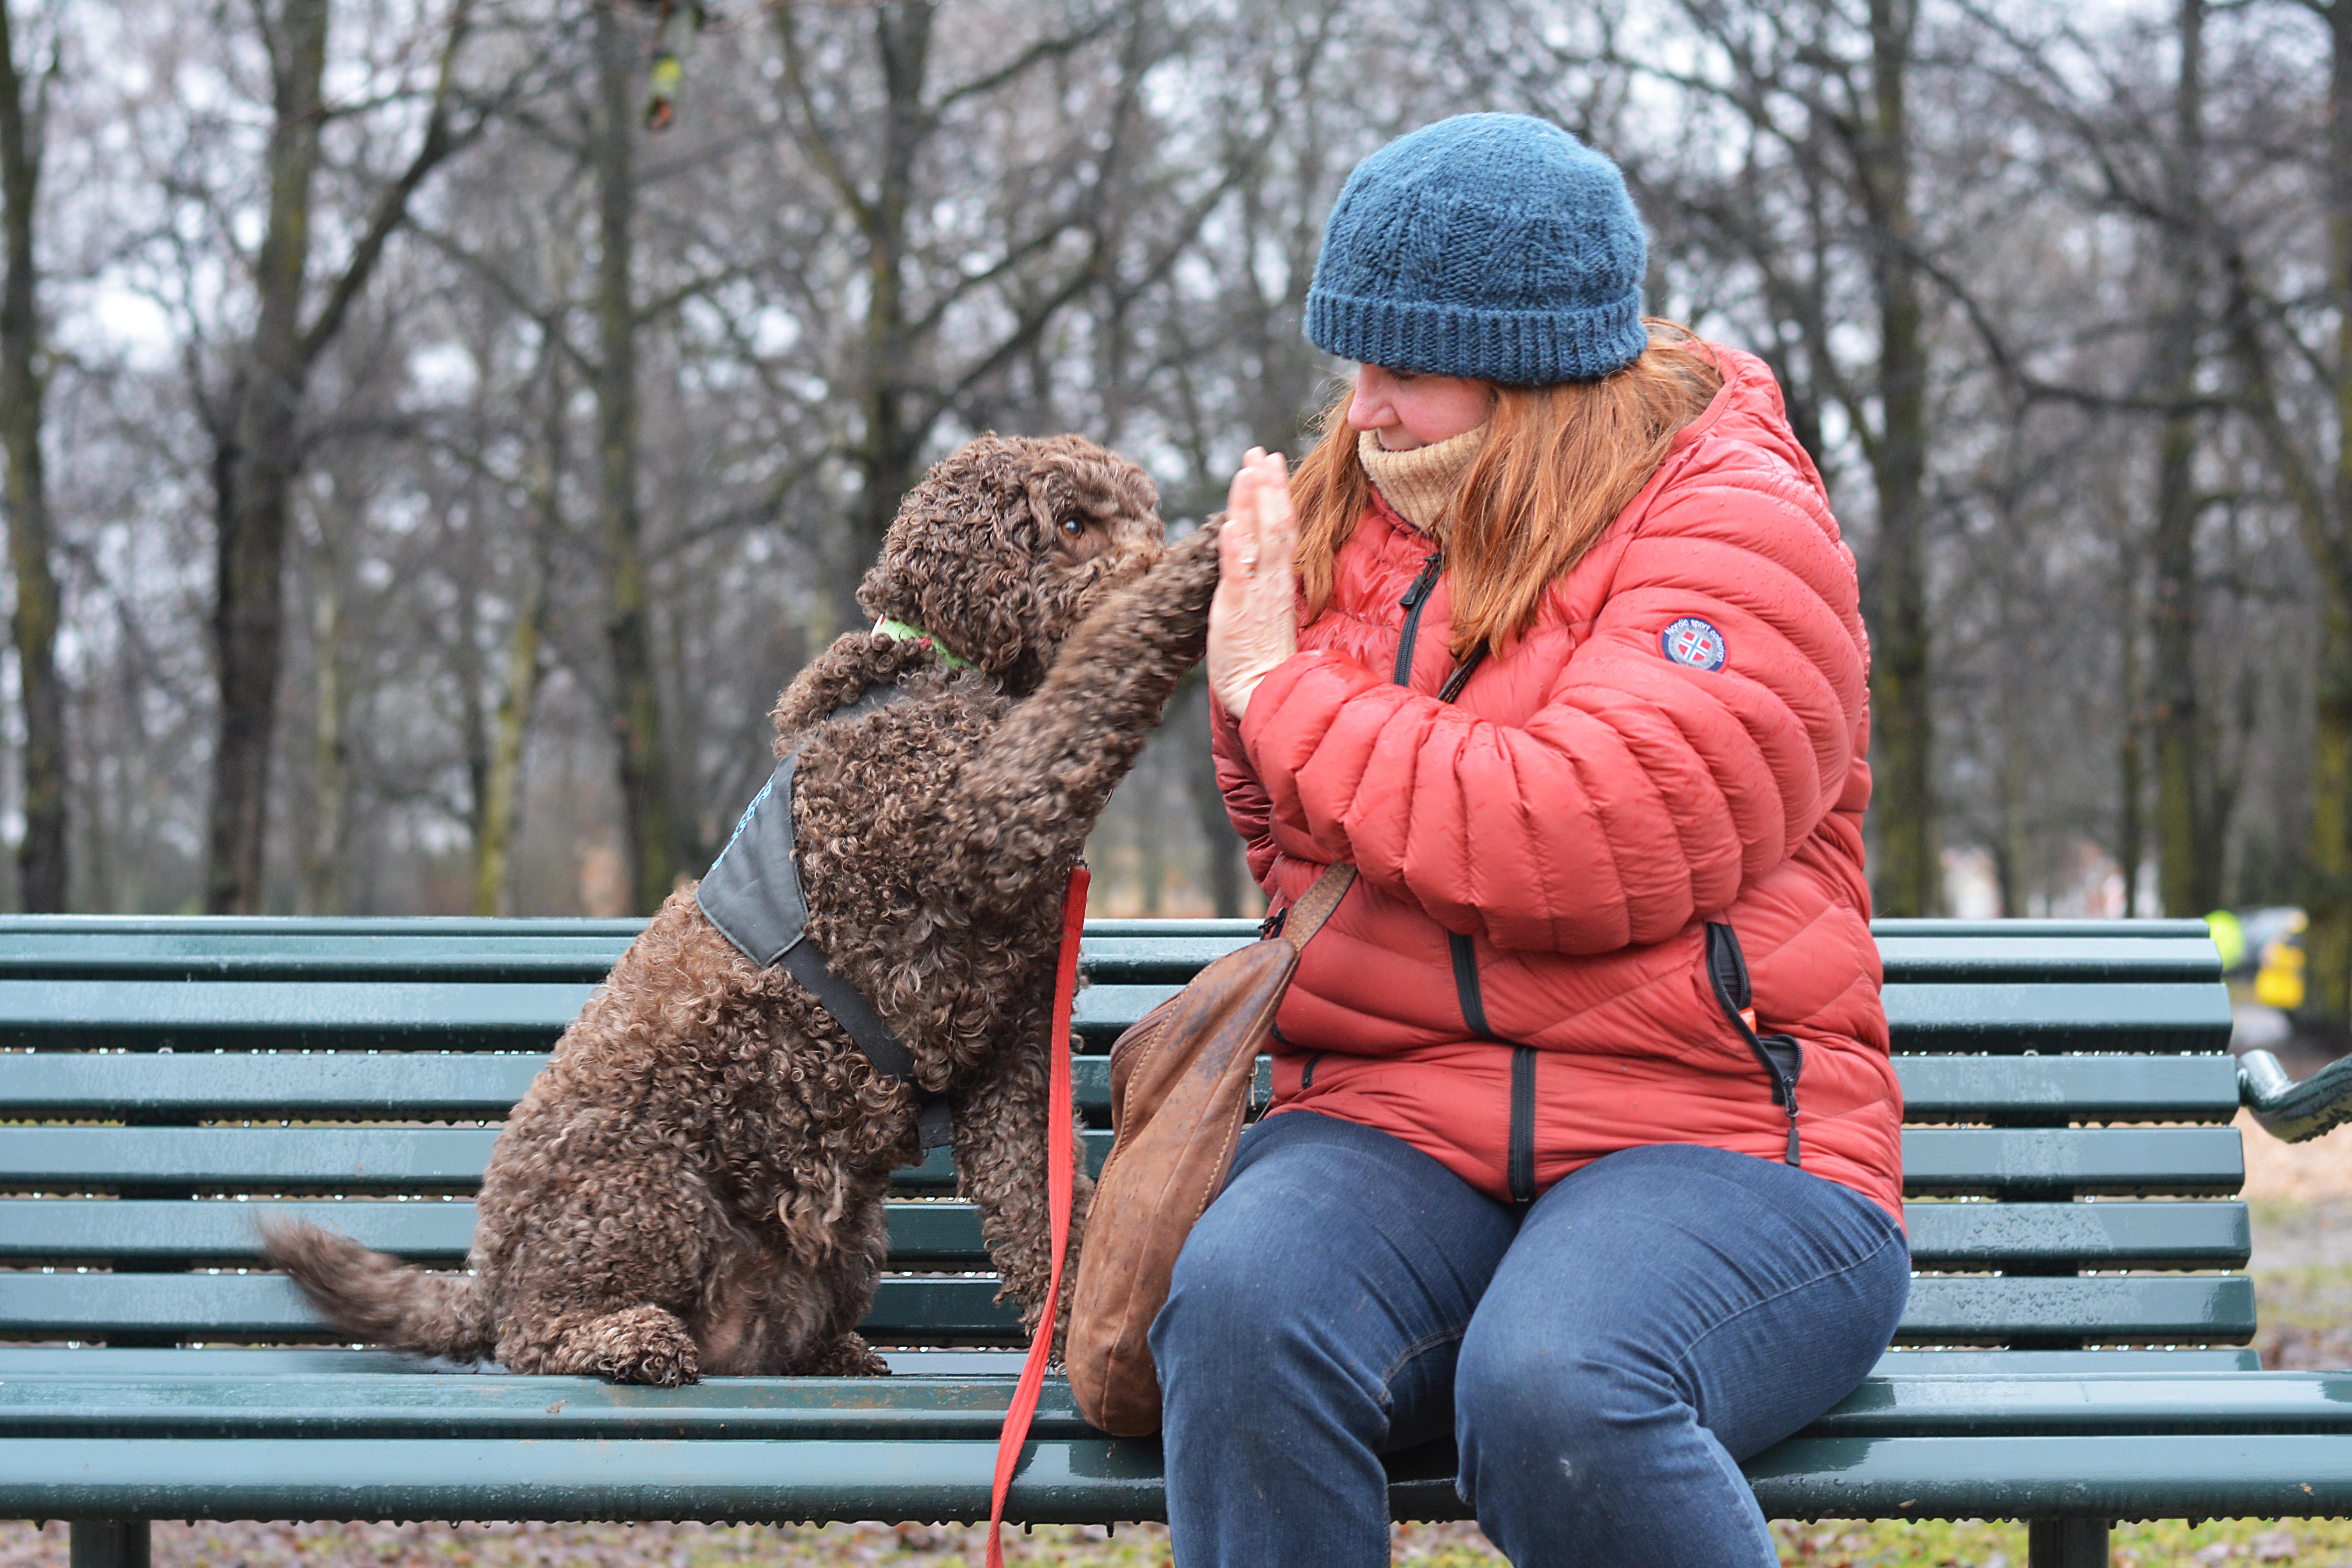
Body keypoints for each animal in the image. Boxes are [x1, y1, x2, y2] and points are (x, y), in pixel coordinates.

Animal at [270, 430, 1232, 1382]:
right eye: (1072, 522)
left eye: (1141, 517)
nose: (1156, 553)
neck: (941, 672)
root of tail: (488, 1274)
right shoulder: (981, 814)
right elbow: (1100, 676)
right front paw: (1208, 562)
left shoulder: (1016, 1062)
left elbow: (1047, 1209)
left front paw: (1068, 1338)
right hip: (649, 1193)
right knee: (534, 1337)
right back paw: (628, 1340)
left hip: (846, 1242)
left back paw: (830, 1356)